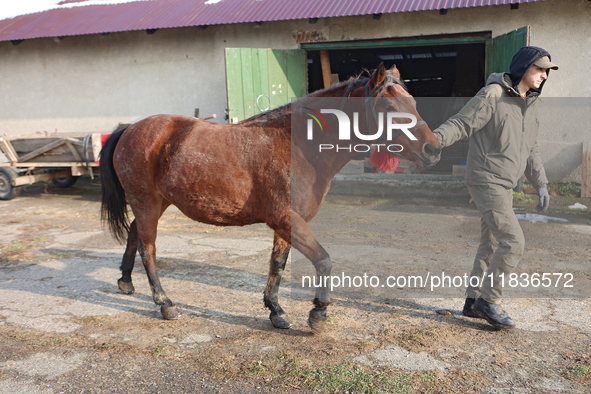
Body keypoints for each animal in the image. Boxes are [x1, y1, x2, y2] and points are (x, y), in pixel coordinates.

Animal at [99, 63, 442, 332]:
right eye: (388, 108)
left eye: (413, 102)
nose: (433, 149)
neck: (299, 144)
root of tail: (131, 127)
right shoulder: (287, 219)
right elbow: (323, 260)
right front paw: (318, 313)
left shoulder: (286, 224)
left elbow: (278, 264)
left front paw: (276, 311)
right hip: (146, 201)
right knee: (148, 250)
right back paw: (165, 303)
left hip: (156, 202)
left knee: (134, 234)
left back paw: (126, 281)